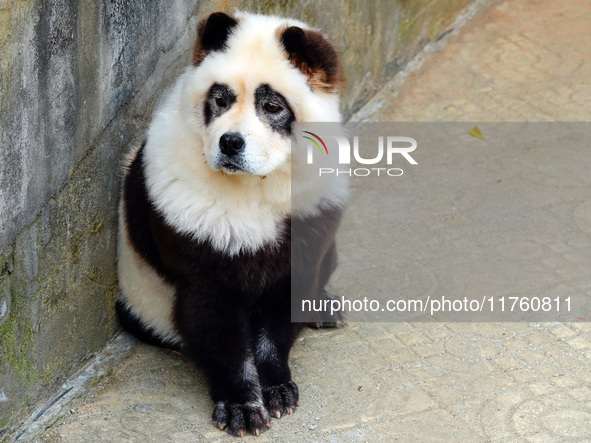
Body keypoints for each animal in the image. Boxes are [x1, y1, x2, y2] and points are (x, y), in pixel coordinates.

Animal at [115, 11, 346, 438]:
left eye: (271, 106)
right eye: (220, 100)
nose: (230, 143)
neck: (255, 183)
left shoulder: (308, 214)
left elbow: (286, 302)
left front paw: (276, 388)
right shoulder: (187, 220)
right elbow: (216, 322)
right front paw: (243, 407)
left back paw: (324, 308)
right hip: (144, 300)